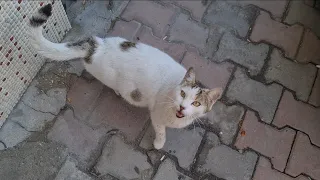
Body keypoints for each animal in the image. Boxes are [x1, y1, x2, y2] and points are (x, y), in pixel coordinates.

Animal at [28, 3, 222, 149]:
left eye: (196, 103)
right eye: (182, 94)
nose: (182, 106)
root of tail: (96, 45)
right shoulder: (157, 116)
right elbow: (161, 131)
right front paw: (159, 143)